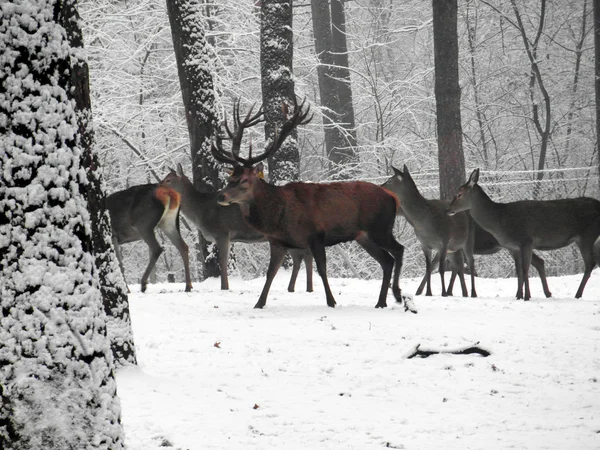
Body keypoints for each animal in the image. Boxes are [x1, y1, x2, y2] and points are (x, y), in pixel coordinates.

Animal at [159, 163, 314, 294]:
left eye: (168, 180)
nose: (157, 187)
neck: (201, 213)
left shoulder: (222, 231)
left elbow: (223, 261)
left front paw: (224, 287)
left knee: (305, 255)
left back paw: (305, 288)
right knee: (299, 257)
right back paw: (294, 288)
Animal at [382, 165, 476, 298]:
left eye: (390, 180)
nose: (380, 186)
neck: (425, 223)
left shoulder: (444, 241)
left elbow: (440, 269)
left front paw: (443, 293)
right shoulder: (425, 244)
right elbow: (428, 268)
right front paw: (428, 293)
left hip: (468, 239)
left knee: (471, 263)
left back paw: (472, 293)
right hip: (453, 249)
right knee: (458, 265)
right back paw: (464, 292)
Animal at [446, 168, 600, 298]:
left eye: (459, 194)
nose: (448, 209)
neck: (500, 221)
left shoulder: (526, 240)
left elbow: (525, 269)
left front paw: (526, 296)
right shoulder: (513, 247)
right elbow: (519, 271)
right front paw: (519, 295)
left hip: (588, 234)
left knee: (590, 263)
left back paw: (577, 294)